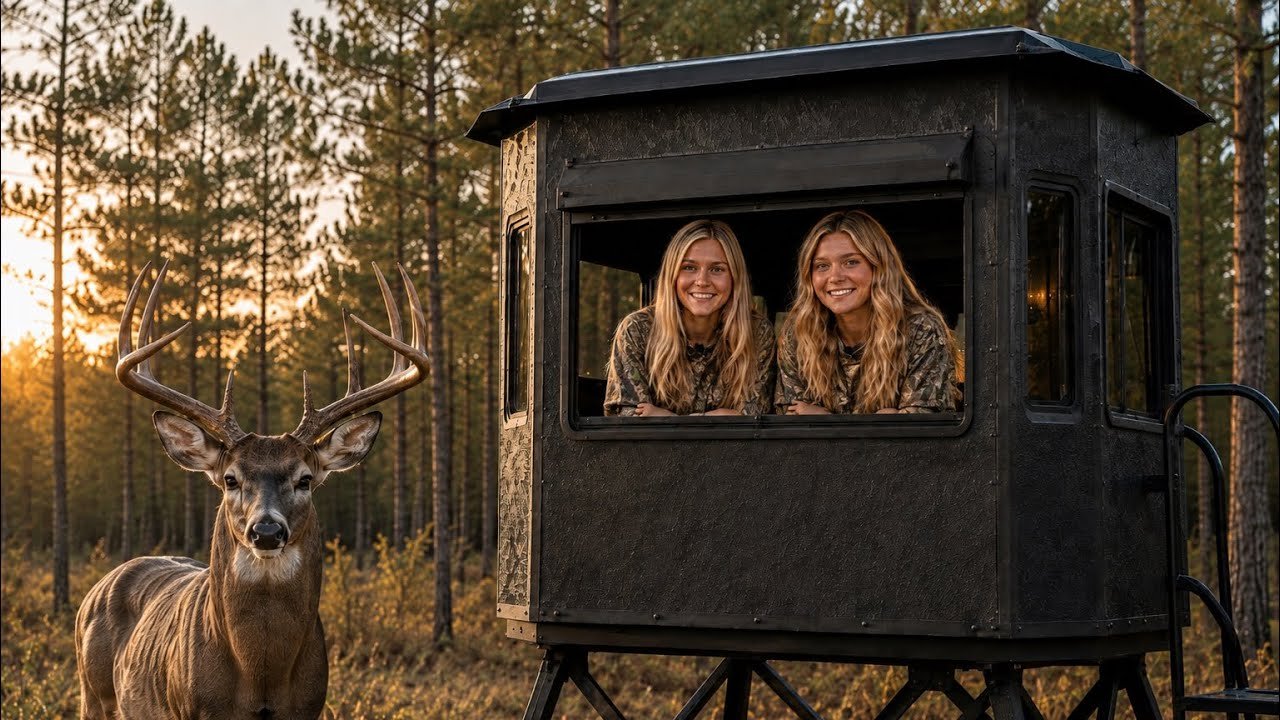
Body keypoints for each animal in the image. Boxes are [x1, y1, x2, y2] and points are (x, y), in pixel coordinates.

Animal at [75, 260, 429, 720]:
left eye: (304, 479)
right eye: (230, 478)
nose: (266, 531)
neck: (261, 675)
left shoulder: (310, 706)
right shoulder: (195, 709)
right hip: (92, 692)